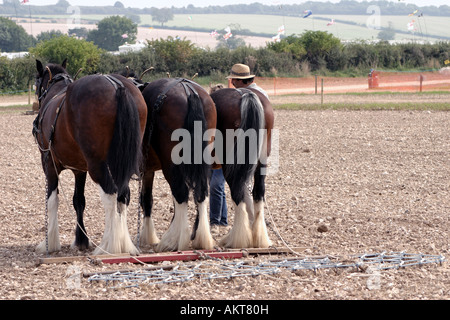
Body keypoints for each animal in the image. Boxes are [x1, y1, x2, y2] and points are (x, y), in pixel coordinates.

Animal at [33, 59, 146, 255]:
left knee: (110, 194)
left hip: (97, 165)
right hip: (120, 163)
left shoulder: (48, 164)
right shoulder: (80, 169)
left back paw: (109, 245)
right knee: (123, 195)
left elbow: (52, 200)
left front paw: (50, 242)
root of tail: (118, 86)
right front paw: (81, 240)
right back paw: (124, 243)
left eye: (37, 82)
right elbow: (79, 200)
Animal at [138, 78, 217, 252]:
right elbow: (147, 199)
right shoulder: (148, 170)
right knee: (201, 192)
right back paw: (200, 237)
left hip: (171, 164)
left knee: (181, 193)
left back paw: (172, 241)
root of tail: (189, 91)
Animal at [210, 87, 274, 250]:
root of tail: (245, 94)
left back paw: (237, 238)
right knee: (258, 192)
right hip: (260, 161)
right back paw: (258, 237)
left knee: (237, 191)